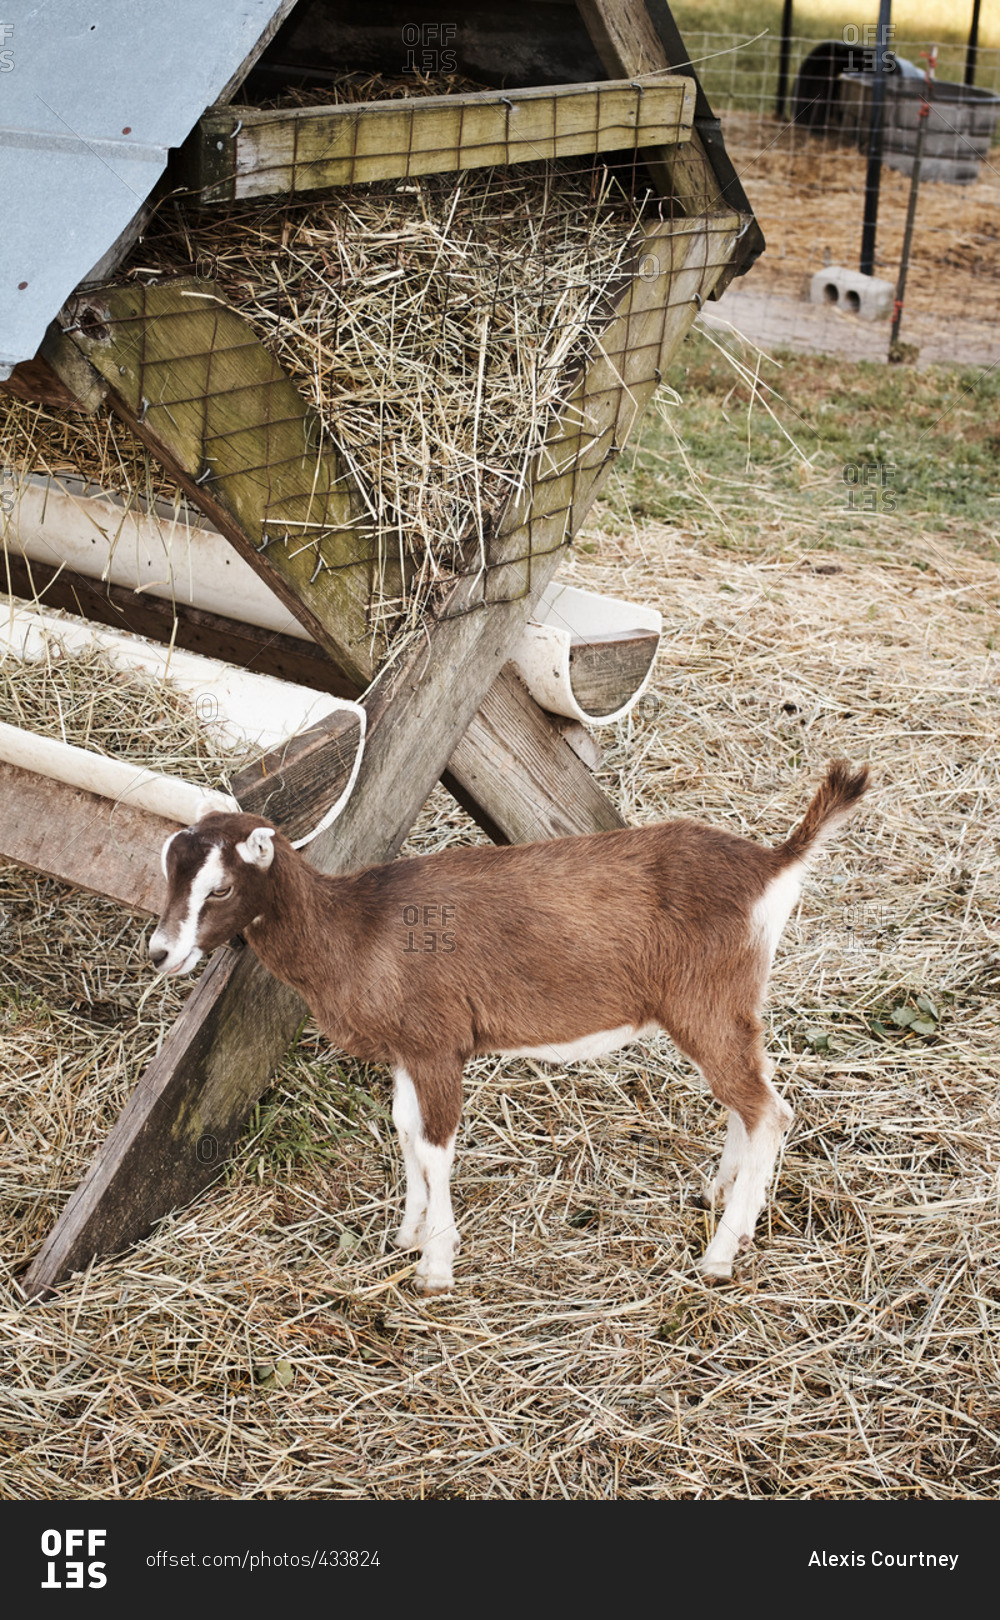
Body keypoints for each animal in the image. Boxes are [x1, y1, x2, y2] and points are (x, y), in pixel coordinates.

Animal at [148, 760, 869, 1292]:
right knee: (747, 1102)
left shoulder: (437, 1045)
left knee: (769, 1111)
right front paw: (408, 1235)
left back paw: (720, 1256)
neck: (353, 927)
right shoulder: (410, 1050)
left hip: (707, 1002)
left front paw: (436, 1268)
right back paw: (723, 1201)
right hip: (726, 1008)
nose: (161, 953)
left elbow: (434, 1147)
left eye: (219, 888)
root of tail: (773, 865)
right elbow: (405, 1131)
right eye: (168, 874)